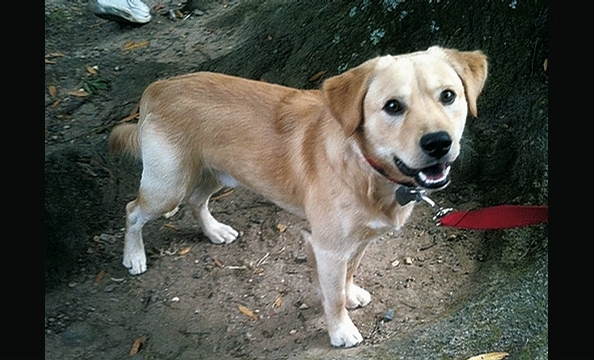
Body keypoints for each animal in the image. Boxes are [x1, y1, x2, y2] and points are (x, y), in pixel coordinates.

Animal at [110, 46, 486, 348]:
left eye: (448, 96)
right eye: (393, 106)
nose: (439, 142)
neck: (364, 167)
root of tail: (158, 86)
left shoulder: (358, 243)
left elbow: (349, 275)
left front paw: (351, 293)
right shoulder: (327, 248)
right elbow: (332, 298)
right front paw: (340, 331)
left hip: (218, 174)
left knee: (197, 201)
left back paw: (215, 231)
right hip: (167, 187)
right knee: (132, 210)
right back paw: (134, 256)